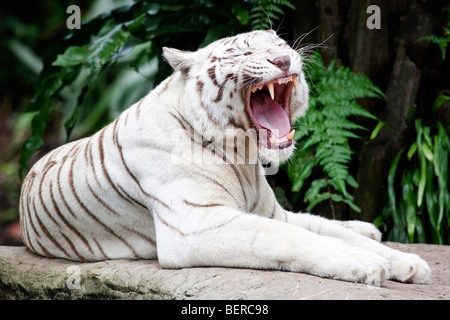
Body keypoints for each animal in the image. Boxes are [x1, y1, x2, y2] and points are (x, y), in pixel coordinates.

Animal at [19, 30, 430, 284]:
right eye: (245, 52)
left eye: (281, 43)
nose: (285, 59)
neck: (243, 156)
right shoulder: (196, 225)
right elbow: (290, 239)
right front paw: (365, 264)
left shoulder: (272, 212)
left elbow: (325, 230)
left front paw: (406, 262)